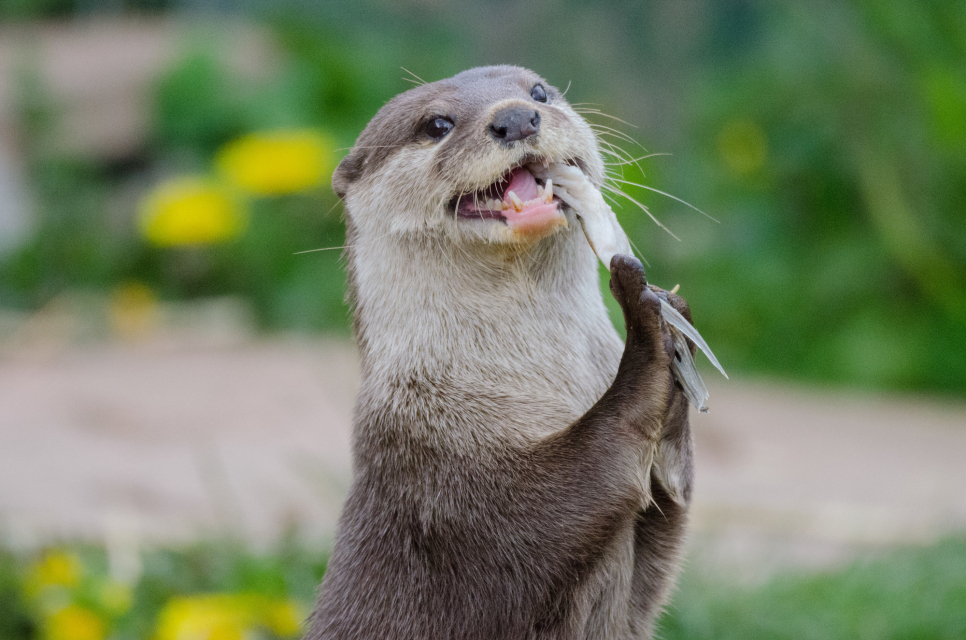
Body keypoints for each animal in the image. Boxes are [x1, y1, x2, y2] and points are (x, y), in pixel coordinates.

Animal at [308, 66, 696, 640]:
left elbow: (670, 513)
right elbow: (560, 496)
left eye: (538, 91)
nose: (516, 118)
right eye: (437, 124)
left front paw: (678, 323)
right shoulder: (434, 476)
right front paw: (647, 329)